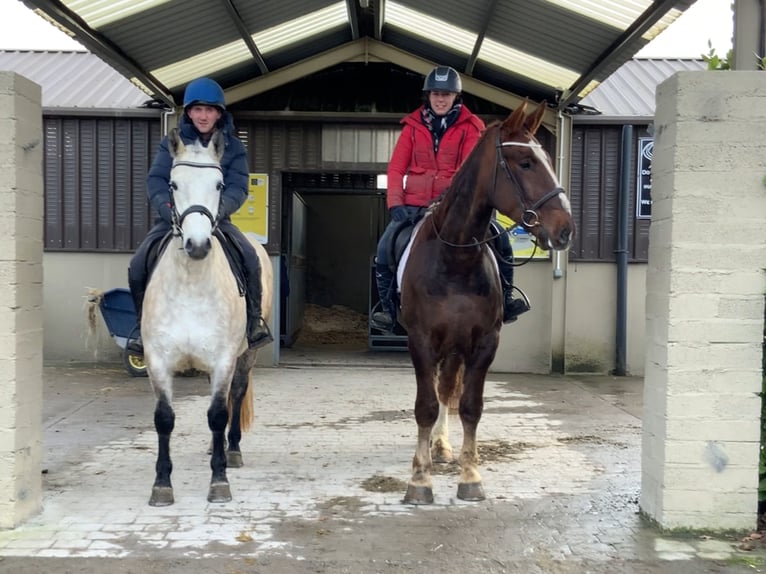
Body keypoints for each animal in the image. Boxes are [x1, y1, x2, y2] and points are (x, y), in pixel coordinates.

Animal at [400, 102, 572, 504]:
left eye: (547, 159)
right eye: (525, 162)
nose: (565, 229)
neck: (455, 257)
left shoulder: (484, 343)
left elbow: (470, 407)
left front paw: (470, 476)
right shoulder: (421, 341)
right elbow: (425, 406)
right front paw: (420, 481)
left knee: (448, 390)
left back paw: (442, 446)